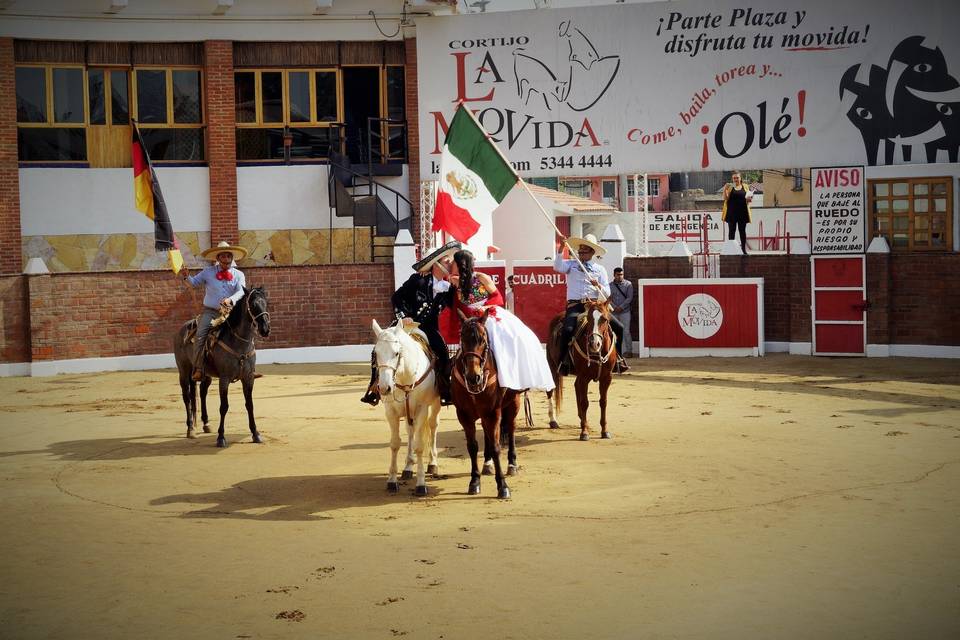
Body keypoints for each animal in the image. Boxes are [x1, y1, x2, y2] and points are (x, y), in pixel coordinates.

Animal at [172, 288, 268, 448]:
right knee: (186, 397)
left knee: (202, 392)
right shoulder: (224, 379)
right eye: (253, 305)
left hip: (206, 375)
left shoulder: (248, 378)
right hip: (184, 371)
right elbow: (224, 407)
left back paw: (206, 424)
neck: (238, 342)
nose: (265, 329)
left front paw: (256, 434)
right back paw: (191, 428)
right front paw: (221, 437)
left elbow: (250, 405)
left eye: (266, 303)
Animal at [372, 318, 442, 496]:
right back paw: (408, 467)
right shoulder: (391, 412)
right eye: (376, 353)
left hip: (435, 404)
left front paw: (421, 484)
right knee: (410, 431)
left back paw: (433, 463)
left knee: (433, 426)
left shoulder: (422, 409)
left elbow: (419, 446)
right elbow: (395, 443)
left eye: (396, 353)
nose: (384, 388)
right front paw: (392, 480)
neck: (405, 376)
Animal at [452, 310, 520, 500]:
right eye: (462, 338)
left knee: (511, 428)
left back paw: (512, 464)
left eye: (483, 340)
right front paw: (474, 481)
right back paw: (487, 464)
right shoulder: (464, 415)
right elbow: (473, 446)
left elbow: (497, 447)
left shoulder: (493, 412)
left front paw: (502, 485)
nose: (473, 377)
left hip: (513, 404)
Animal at [548, 298, 616, 440]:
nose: (594, 343)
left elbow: (603, 402)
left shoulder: (607, 377)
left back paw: (582, 420)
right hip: (552, 366)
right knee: (550, 390)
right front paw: (584, 433)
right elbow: (585, 402)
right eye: (589, 319)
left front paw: (604, 431)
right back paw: (553, 420)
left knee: (575, 387)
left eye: (605, 319)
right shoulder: (584, 377)